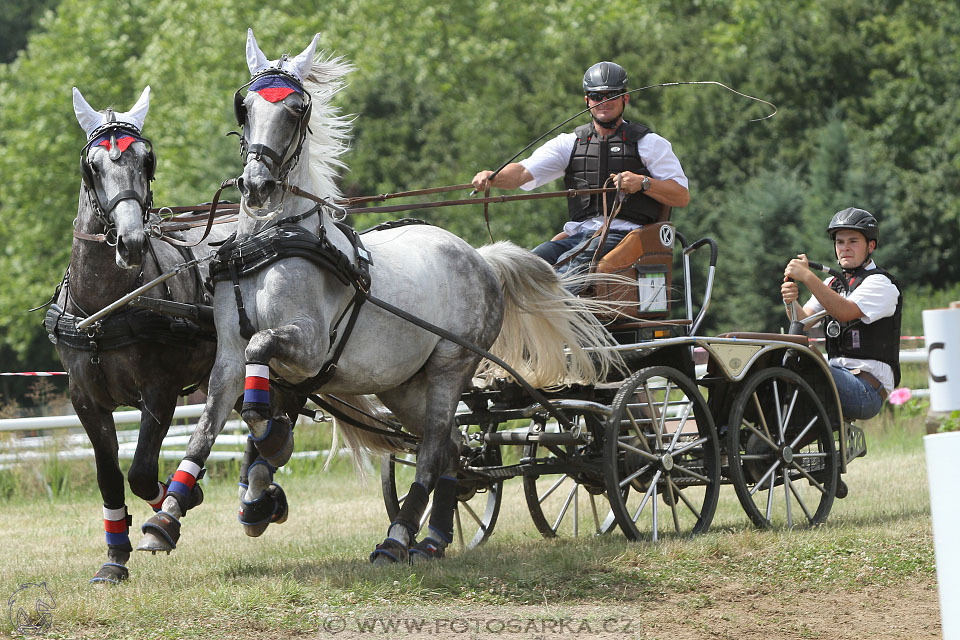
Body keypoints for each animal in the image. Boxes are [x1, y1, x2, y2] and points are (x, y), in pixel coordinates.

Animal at [45, 87, 227, 584]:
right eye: (92, 165)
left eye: (147, 160)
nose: (130, 242)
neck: (104, 310)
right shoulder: (85, 399)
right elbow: (109, 476)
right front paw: (114, 558)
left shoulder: (160, 390)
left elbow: (142, 472)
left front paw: (175, 505)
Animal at [141, 31, 624, 560]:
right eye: (244, 106)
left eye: (296, 108)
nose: (257, 185)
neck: (271, 241)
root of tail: (481, 257)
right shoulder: (227, 356)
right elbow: (206, 429)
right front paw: (167, 517)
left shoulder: (308, 345)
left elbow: (260, 366)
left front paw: (273, 444)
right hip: (402, 385)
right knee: (453, 446)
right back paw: (432, 537)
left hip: (450, 367)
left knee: (432, 449)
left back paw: (398, 536)